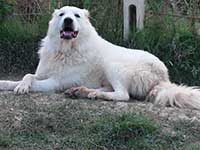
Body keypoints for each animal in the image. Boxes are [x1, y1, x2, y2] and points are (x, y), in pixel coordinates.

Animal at [1, 6, 200, 109]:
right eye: (62, 14)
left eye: (76, 16)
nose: (68, 21)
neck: (65, 50)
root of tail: (163, 78)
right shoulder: (42, 73)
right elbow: (26, 76)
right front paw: (11, 84)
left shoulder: (55, 82)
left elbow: (33, 82)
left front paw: (21, 87)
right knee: (109, 89)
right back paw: (82, 91)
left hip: (112, 65)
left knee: (123, 95)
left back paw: (93, 94)